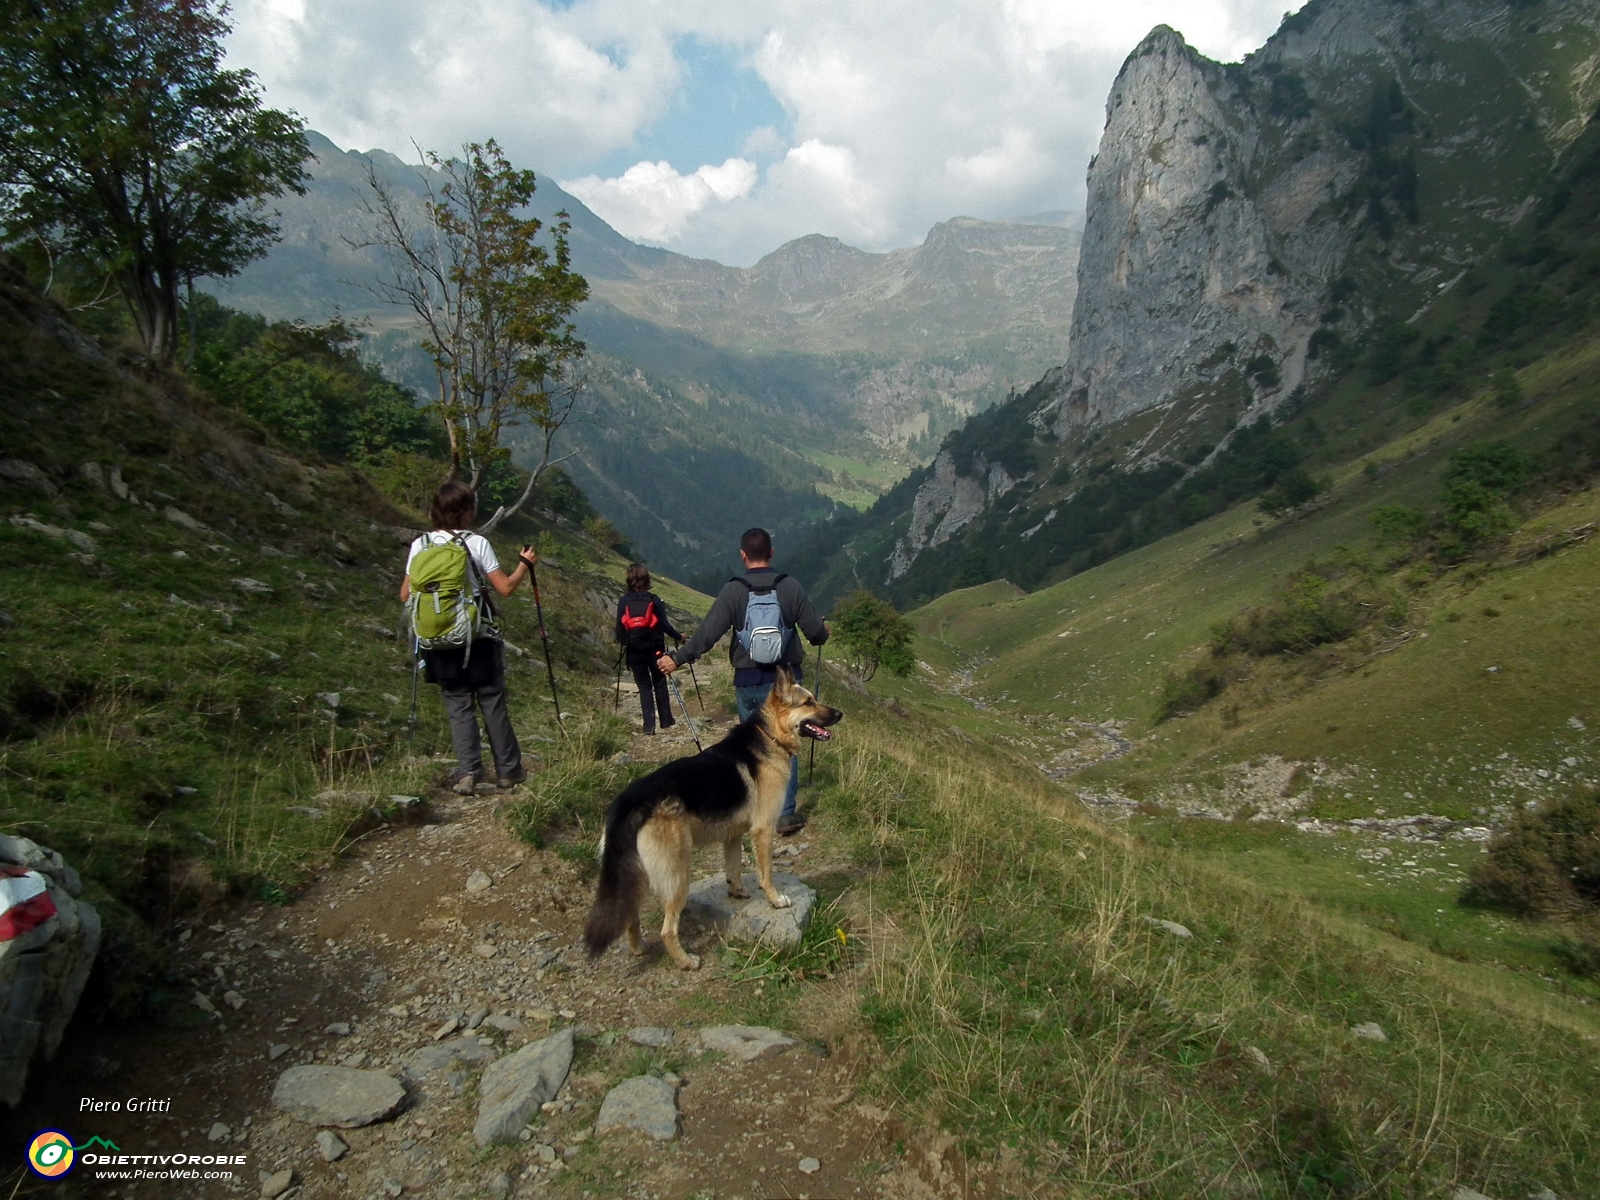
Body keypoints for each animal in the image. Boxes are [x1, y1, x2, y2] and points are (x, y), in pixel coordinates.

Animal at [585, 672, 838, 972]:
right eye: (808, 702)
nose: (839, 713)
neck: (770, 736)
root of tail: (629, 800)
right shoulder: (763, 831)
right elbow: (766, 874)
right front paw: (775, 900)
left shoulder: (733, 836)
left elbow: (734, 868)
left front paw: (737, 892)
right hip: (678, 874)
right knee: (667, 929)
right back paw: (685, 961)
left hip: (640, 875)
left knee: (630, 915)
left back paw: (639, 948)